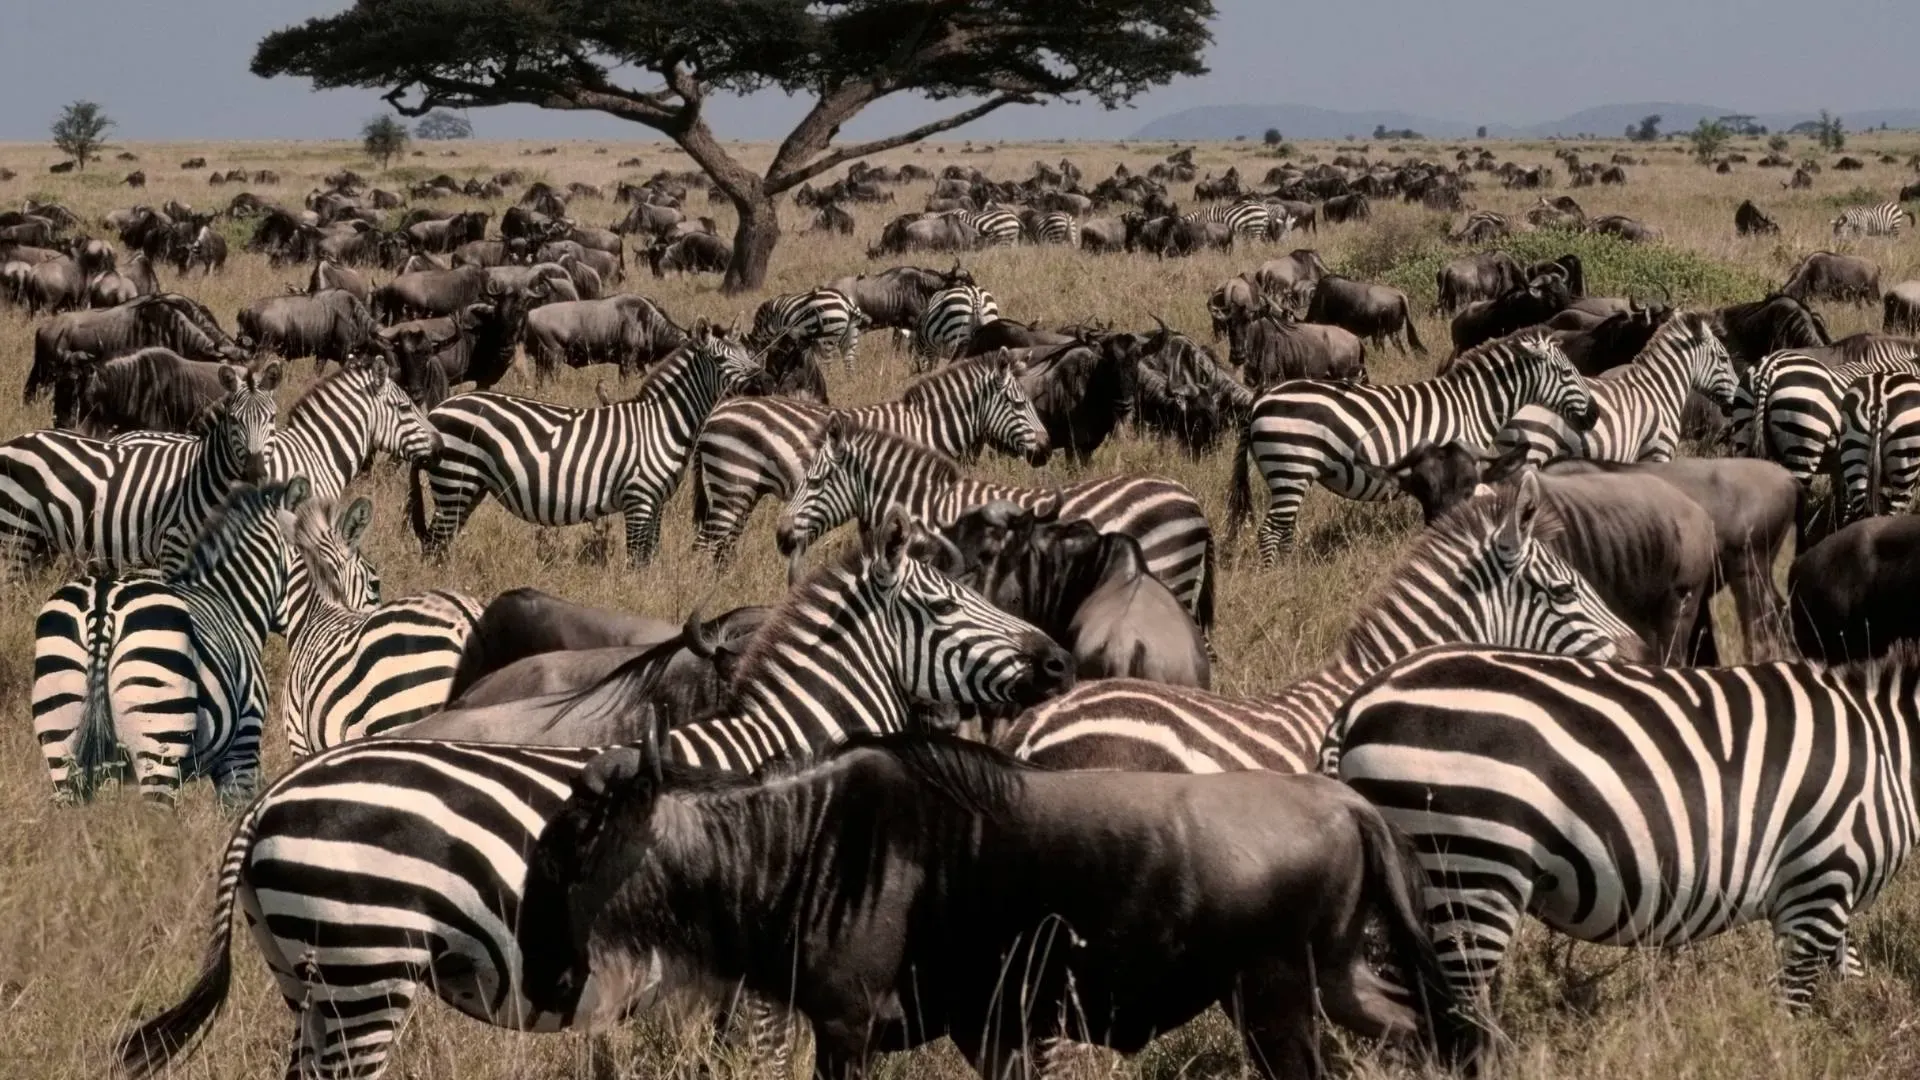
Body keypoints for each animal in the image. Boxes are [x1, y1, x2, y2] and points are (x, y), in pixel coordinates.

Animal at [0, 362, 280, 576]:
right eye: (234, 419)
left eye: (272, 418)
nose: (255, 473)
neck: (206, 479)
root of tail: (14, 441)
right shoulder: (175, 548)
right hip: (15, 534)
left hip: (42, 544)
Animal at [406, 321, 765, 565]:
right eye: (720, 362)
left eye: (748, 354)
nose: (762, 381)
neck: (664, 422)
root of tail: (437, 409)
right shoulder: (639, 498)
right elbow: (636, 560)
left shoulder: (657, 501)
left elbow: (649, 557)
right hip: (455, 480)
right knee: (434, 543)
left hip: (470, 487)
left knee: (441, 541)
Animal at [691, 351, 1051, 561]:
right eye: (1019, 404)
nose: (1047, 450)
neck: (927, 427)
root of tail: (716, 413)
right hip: (733, 485)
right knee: (709, 545)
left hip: (739, 491)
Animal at [1228, 331, 1598, 565]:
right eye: (1568, 372)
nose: (1594, 415)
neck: (1472, 404)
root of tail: (1261, 399)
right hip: (1290, 466)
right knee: (1270, 532)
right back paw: (1274, 576)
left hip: (1287, 474)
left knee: (1284, 531)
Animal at [1325, 642, 1920, 1014]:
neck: (1892, 755)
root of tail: (1358, 703)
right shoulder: (1820, 882)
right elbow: (1794, 1006)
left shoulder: (1828, 893)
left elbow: (1849, 978)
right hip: (1473, 862)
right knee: (1462, 1014)